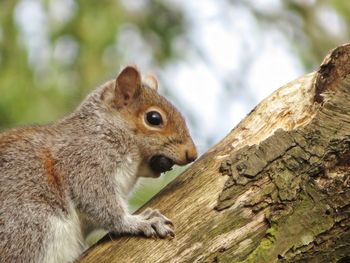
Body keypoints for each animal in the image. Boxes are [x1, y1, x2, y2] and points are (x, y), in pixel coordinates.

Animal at [0, 65, 197, 262]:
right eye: (154, 118)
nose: (192, 154)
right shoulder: (84, 160)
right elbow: (98, 201)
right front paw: (140, 221)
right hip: (30, 224)